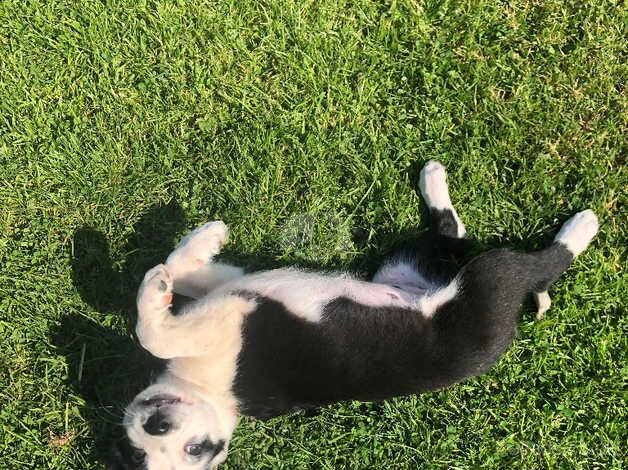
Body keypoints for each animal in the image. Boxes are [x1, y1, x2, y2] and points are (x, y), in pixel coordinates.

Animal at [111, 162, 600, 470]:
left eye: (192, 448)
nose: (155, 422)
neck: (213, 392)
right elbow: (153, 332)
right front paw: (161, 286)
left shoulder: (231, 287)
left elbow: (182, 274)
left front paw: (199, 242)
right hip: (487, 285)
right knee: (530, 264)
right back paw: (581, 228)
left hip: (413, 263)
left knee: (453, 235)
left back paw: (434, 178)